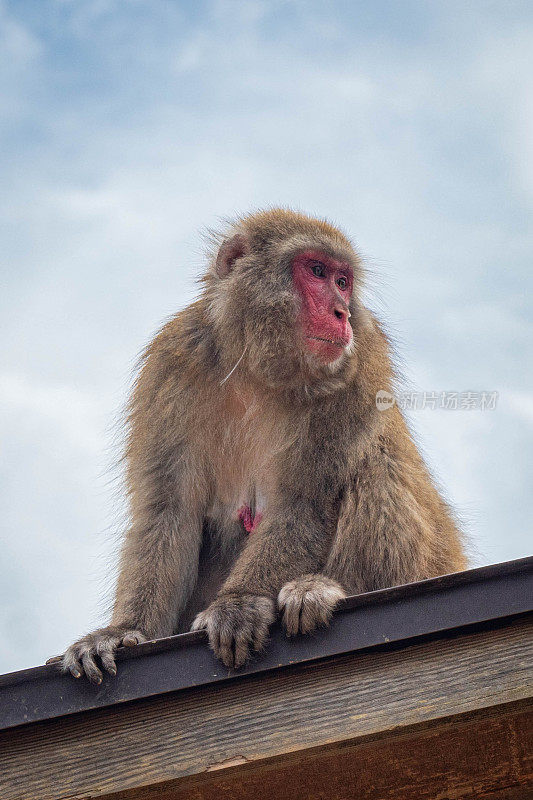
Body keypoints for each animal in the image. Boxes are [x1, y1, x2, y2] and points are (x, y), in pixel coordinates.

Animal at [51, 208, 466, 680]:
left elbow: (303, 501)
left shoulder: (360, 364)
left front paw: (238, 603)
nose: (341, 313)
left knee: (373, 462)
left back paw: (321, 588)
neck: (258, 368)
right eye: (317, 271)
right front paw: (122, 631)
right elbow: (168, 510)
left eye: (343, 281)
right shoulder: (171, 365)